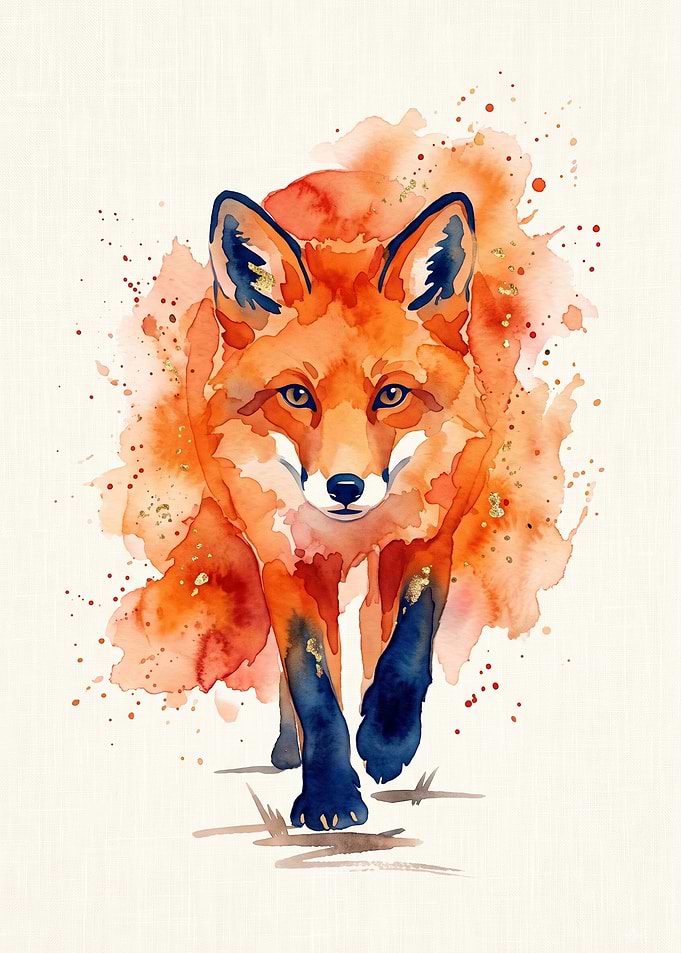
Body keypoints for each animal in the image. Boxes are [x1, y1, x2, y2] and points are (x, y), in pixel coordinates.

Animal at [198, 185, 496, 832]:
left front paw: (385, 741)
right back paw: (293, 751)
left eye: (391, 394)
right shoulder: (286, 561)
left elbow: (407, 648)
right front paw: (330, 795)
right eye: (295, 395)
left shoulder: (428, 540)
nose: (344, 487)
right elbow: (313, 685)